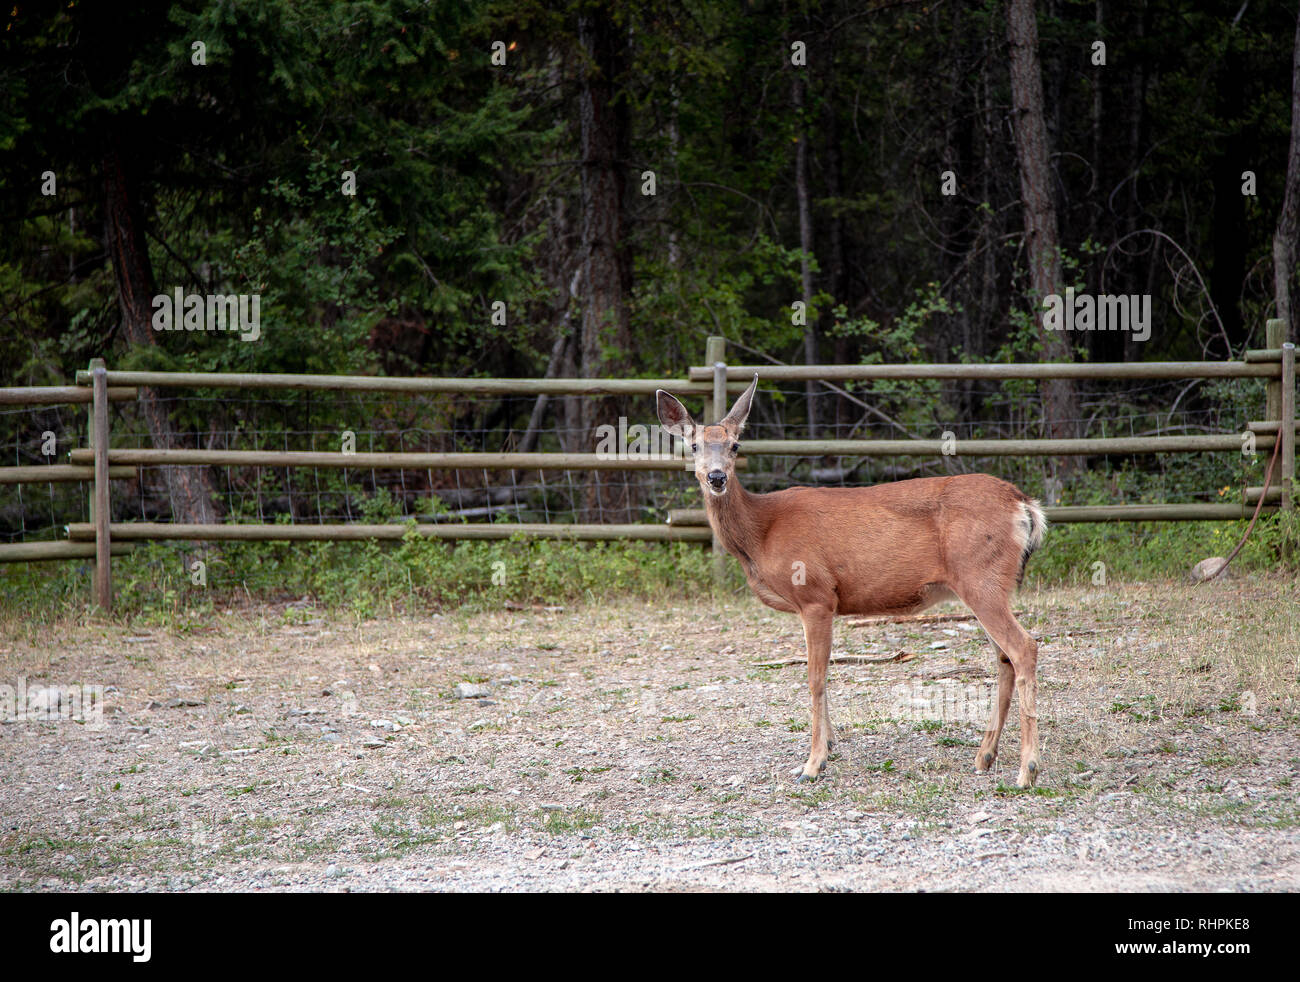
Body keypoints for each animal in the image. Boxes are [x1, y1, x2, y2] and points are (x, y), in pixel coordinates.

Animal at [656, 374, 1047, 787]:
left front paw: (813, 763)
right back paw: (984, 756)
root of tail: (1023, 503)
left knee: (1024, 648)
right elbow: (824, 675)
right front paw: (829, 746)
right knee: (1004, 658)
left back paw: (1027, 769)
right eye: (693, 445)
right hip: (984, 585)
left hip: (980, 577)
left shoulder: (816, 596)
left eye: (735, 445)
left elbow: (814, 677)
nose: (716, 477)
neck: (761, 532)